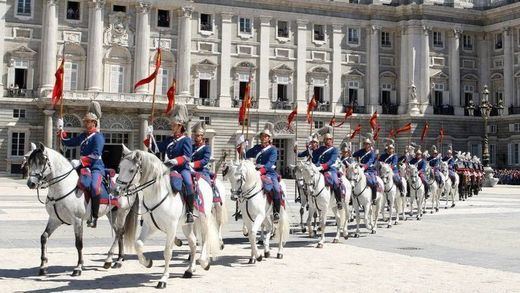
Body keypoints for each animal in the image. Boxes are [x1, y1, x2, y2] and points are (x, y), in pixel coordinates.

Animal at [25, 142, 136, 276]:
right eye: (29, 162)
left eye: (41, 161)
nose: (30, 183)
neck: (63, 187)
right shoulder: (54, 219)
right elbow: (44, 237)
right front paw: (43, 266)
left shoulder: (77, 220)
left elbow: (79, 244)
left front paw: (78, 267)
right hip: (112, 214)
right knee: (119, 233)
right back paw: (118, 259)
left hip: (122, 213)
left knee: (119, 232)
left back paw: (113, 260)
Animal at [117, 146, 220, 288]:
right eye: (119, 167)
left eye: (131, 170)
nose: (117, 190)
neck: (156, 194)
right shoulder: (150, 226)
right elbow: (138, 244)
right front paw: (147, 262)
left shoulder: (171, 228)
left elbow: (167, 252)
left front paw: (163, 278)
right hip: (187, 224)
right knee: (193, 243)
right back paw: (190, 270)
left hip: (204, 218)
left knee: (205, 239)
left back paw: (204, 262)